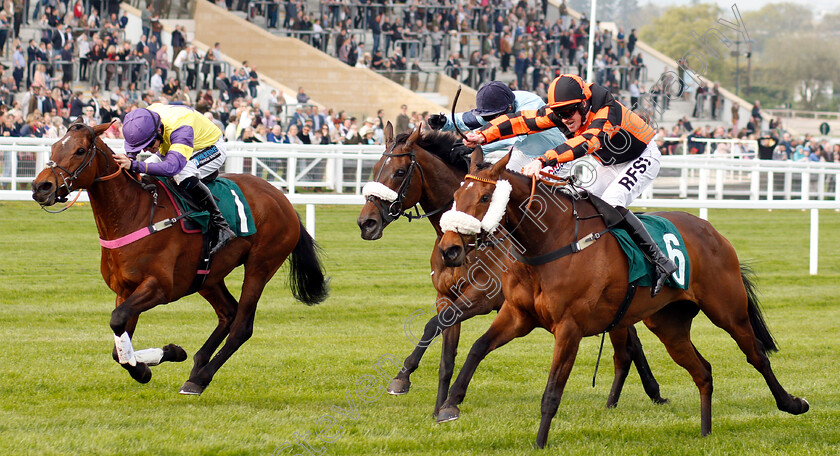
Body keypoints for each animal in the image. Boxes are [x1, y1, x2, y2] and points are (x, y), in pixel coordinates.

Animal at [29, 122, 326, 396]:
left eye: (80, 150)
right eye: (53, 147)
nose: (41, 186)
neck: (133, 213)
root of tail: (282, 199)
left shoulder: (161, 287)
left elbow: (117, 320)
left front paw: (154, 361)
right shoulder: (125, 290)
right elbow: (118, 342)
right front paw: (159, 359)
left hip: (260, 265)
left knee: (242, 326)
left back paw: (200, 378)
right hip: (208, 277)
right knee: (228, 313)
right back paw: (197, 364)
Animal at [358, 123, 668, 416]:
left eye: (399, 172)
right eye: (374, 168)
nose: (366, 223)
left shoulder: (482, 298)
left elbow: (434, 324)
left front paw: (402, 378)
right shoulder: (446, 296)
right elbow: (445, 351)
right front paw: (440, 406)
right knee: (629, 339)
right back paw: (641, 393)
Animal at [434, 149, 808, 446]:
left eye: (485, 198)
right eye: (456, 194)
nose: (449, 250)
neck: (549, 242)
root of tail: (714, 232)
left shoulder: (569, 328)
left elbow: (552, 391)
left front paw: (539, 443)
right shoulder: (517, 315)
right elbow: (477, 348)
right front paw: (449, 405)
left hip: (728, 310)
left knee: (756, 354)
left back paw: (791, 403)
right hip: (669, 325)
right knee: (703, 370)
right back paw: (705, 432)